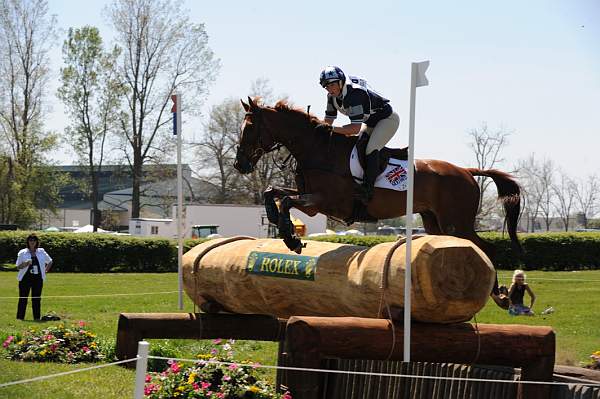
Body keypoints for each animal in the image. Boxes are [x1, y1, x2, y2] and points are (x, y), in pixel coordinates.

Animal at [234, 96, 520, 296]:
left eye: (249, 129)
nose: (240, 165)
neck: (318, 151)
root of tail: (466, 171)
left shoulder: (325, 202)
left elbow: (286, 200)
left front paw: (291, 237)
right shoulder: (311, 198)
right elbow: (273, 193)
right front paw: (278, 224)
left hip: (456, 222)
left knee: (486, 248)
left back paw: (499, 294)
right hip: (434, 221)